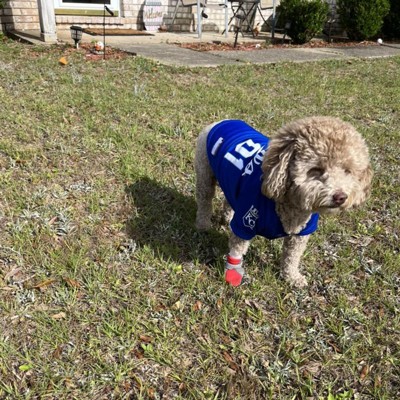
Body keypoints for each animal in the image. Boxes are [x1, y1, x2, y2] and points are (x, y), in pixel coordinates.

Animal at [195, 115, 374, 288]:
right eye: (316, 169)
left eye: (347, 171)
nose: (340, 197)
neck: (291, 204)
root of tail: (223, 121)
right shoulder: (245, 223)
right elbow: (237, 250)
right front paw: (232, 274)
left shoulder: (302, 232)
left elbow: (292, 256)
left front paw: (292, 277)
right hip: (205, 173)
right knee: (205, 200)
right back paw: (203, 225)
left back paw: (227, 217)